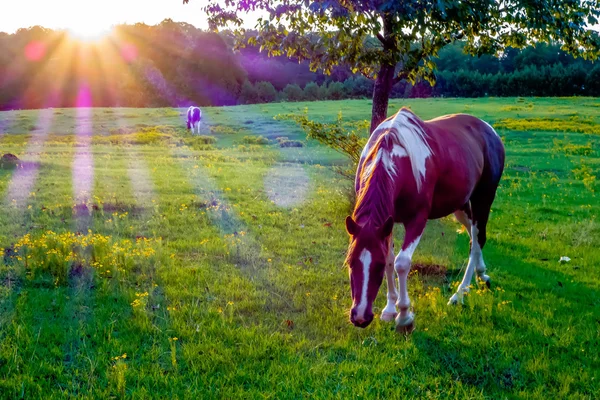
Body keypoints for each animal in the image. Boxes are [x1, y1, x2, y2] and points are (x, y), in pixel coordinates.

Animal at [344, 107, 504, 332]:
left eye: (376, 266)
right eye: (350, 262)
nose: (360, 317)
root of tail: (490, 131)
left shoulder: (417, 219)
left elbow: (401, 263)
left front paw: (404, 317)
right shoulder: (386, 223)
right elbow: (391, 260)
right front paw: (389, 309)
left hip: (483, 198)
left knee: (477, 240)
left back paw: (460, 294)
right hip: (461, 206)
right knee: (475, 237)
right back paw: (482, 274)